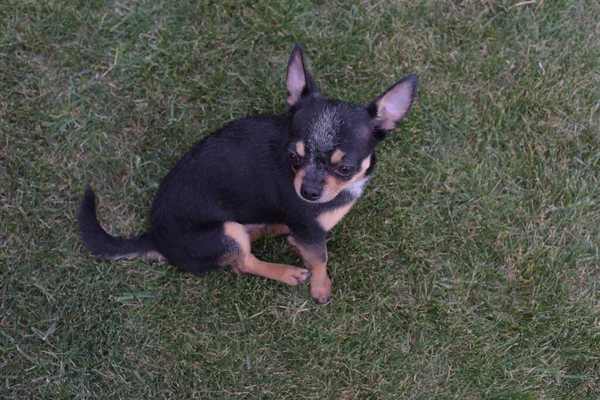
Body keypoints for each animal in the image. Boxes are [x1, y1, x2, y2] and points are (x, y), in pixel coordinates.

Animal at [78, 43, 418, 304]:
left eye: (344, 167)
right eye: (293, 157)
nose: (308, 192)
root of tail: (156, 238)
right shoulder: (309, 231)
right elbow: (319, 257)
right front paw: (320, 287)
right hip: (225, 233)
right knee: (243, 263)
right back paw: (285, 271)